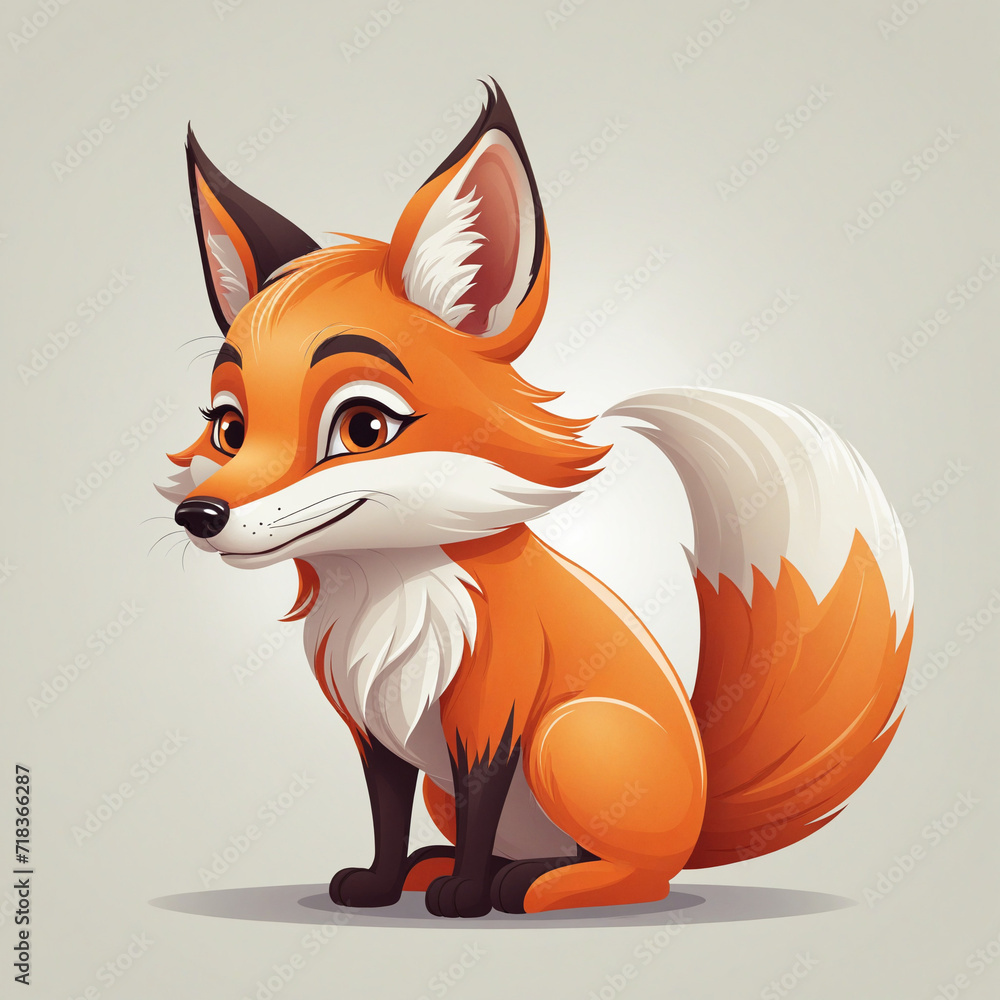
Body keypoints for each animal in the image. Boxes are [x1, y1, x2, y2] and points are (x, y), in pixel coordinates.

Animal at [160, 81, 914, 918]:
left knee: (638, 875)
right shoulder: (375, 727)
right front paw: (383, 884)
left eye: (363, 426)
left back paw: (528, 887)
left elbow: (482, 797)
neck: (390, 597)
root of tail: (699, 816)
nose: (198, 517)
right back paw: (453, 867)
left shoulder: (497, 713)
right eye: (228, 428)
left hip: (568, 736)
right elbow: (386, 816)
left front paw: (462, 899)